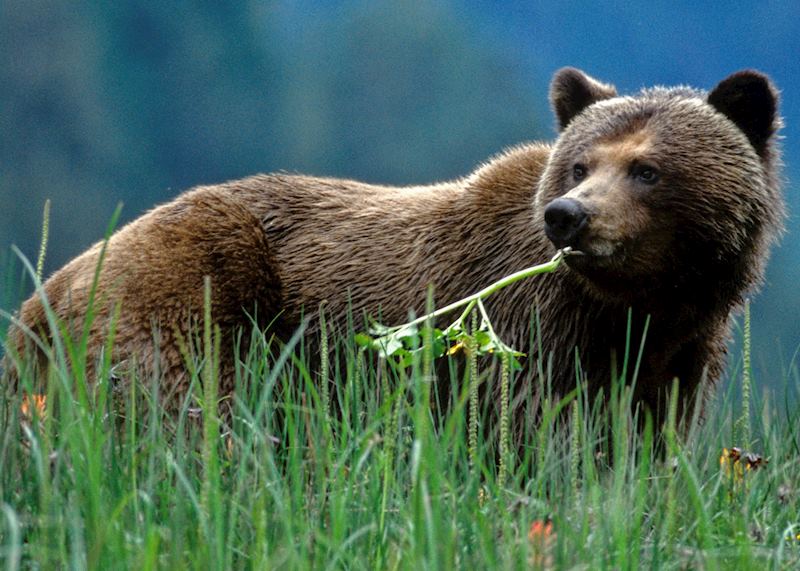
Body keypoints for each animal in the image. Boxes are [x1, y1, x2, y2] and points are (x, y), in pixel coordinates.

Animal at [3, 67, 783, 423]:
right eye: (580, 164)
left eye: (647, 168)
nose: (568, 216)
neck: (637, 307)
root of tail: (44, 295)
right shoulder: (527, 334)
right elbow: (528, 433)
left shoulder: (677, 356)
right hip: (195, 286)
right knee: (185, 409)